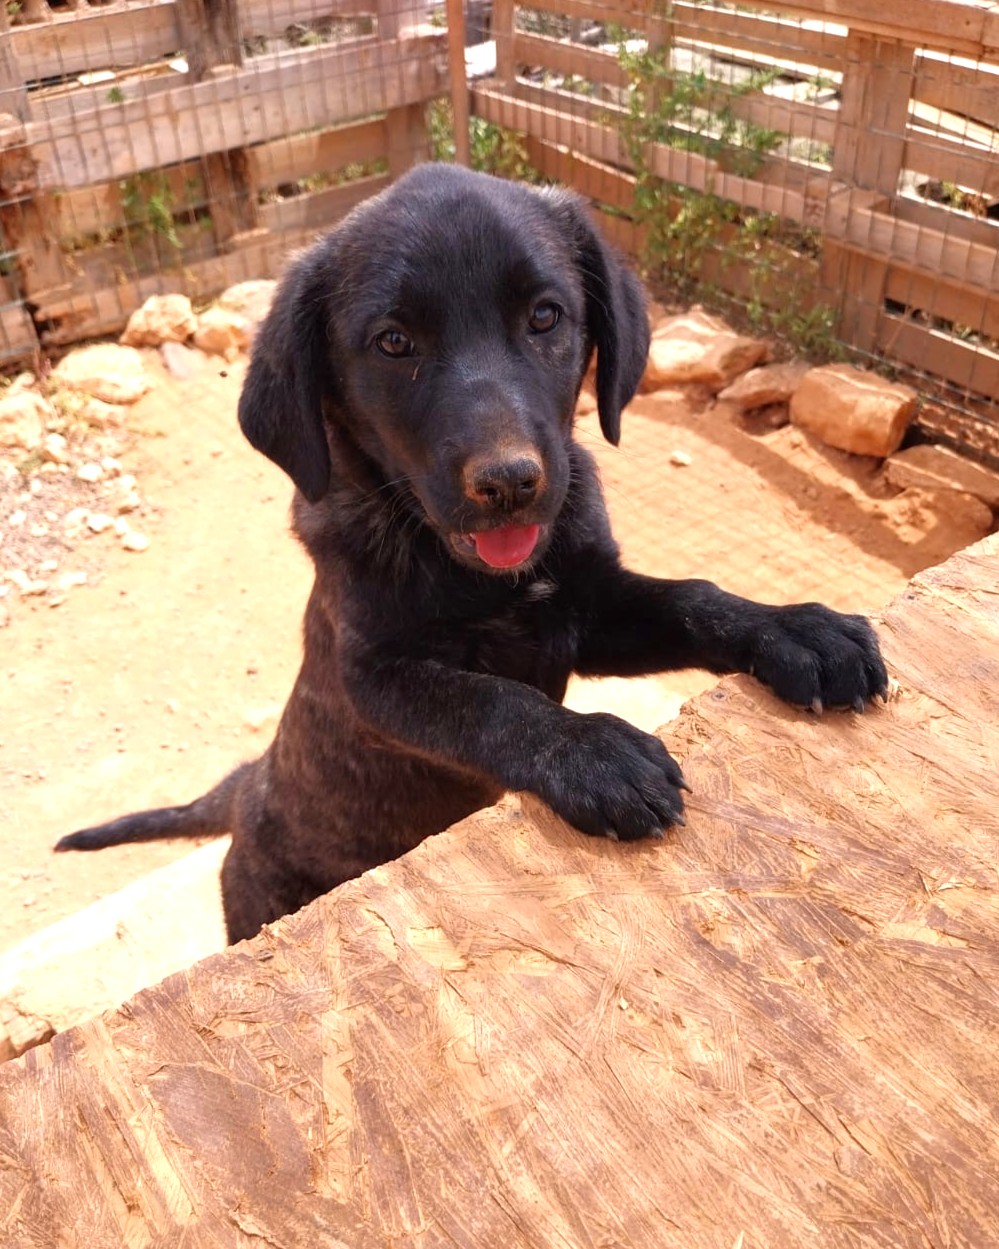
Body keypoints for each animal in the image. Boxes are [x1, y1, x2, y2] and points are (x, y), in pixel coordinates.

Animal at [56, 164, 888, 943]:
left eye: (545, 316)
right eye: (393, 342)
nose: (509, 482)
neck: (478, 574)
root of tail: (248, 784)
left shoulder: (584, 612)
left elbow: (693, 597)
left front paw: (794, 630)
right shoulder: (375, 677)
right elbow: (491, 702)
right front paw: (591, 749)